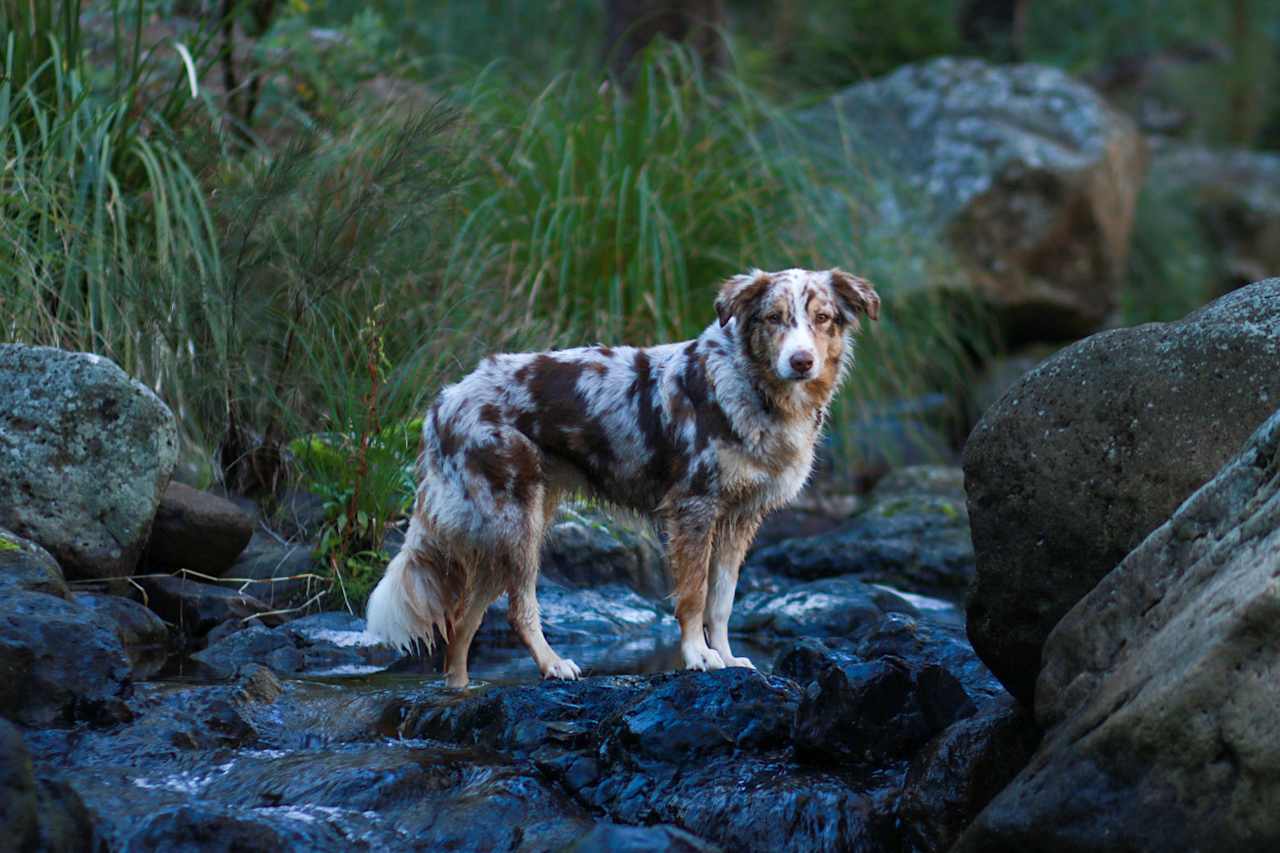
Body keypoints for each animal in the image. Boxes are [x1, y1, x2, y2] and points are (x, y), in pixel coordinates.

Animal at [366, 267, 875, 686]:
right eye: (773, 318)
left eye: (823, 318)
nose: (802, 361)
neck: (753, 388)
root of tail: (444, 401)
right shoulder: (692, 510)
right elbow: (694, 596)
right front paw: (698, 657)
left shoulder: (740, 518)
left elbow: (723, 601)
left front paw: (728, 658)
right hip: (517, 524)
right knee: (517, 609)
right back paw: (552, 665)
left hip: (507, 533)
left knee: (462, 622)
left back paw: (459, 690)